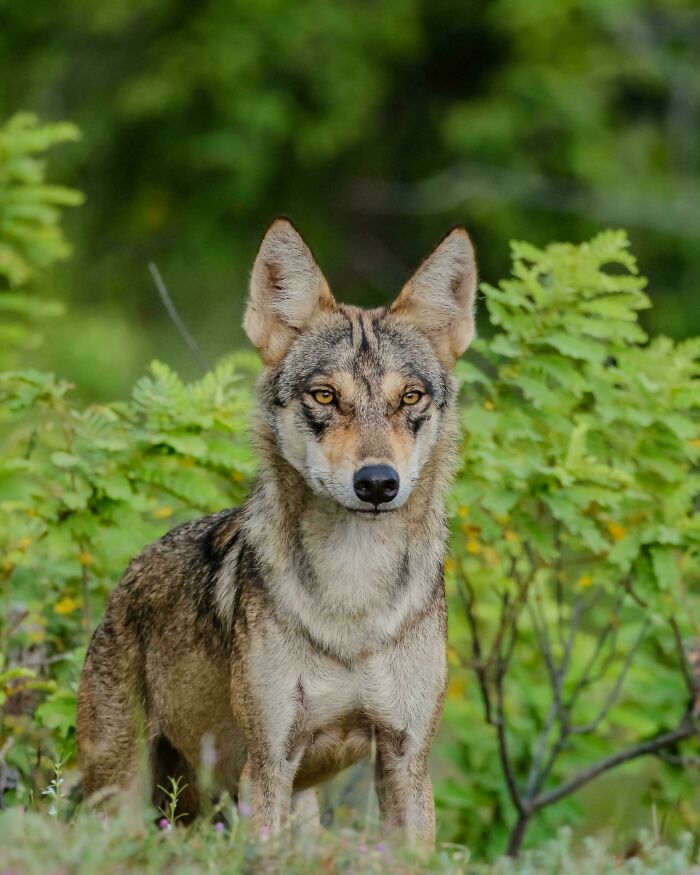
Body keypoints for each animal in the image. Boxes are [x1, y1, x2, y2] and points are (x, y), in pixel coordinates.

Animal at [76, 219, 477, 844]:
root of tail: (127, 578)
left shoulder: (406, 760)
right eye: (325, 396)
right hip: (124, 796)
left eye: (409, 397)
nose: (377, 483)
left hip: (291, 808)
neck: (353, 595)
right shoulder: (268, 762)